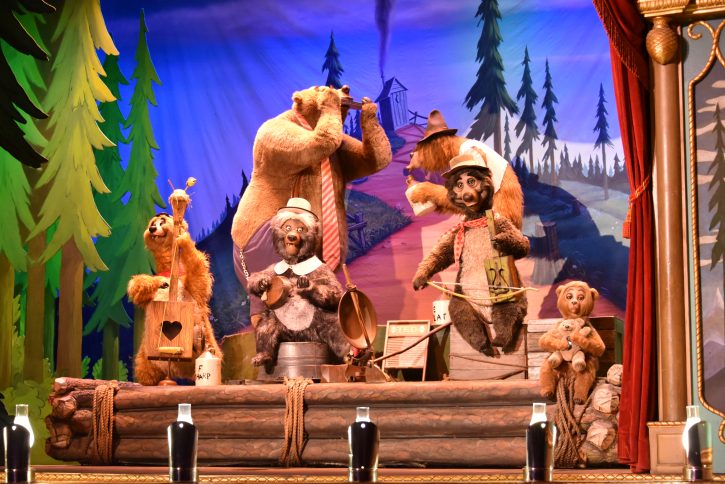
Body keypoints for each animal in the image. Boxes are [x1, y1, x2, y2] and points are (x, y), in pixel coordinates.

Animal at [230, 85, 390, 324]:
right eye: (317, 87)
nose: (345, 89)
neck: (308, 120)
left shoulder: (342, 151)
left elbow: (371, 159)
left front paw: (368, 106)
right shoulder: (278, 137)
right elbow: (316, 141)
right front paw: (329, 98)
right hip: (260, 246)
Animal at [246, 199, 350, 372]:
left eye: (300, 229)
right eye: (288, 227)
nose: (292, 237)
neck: (294, 263)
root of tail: (297, 337)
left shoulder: (323, 270)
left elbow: (333, 291)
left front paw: (307, 286)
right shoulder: (273, 268)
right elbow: (256, 278)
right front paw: (262, 283)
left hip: (321, 324)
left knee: (336, 328)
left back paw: (353, 354)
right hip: (276, 325)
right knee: (265, 328)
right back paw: (263, 355)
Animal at [410, 154, 528, 352]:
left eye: (471, 181)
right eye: (459, 185)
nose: (466, 195)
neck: (477, 217)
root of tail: (486, 316)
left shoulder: (501, 221)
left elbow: (523, 245)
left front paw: (502, 240)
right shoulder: (457, 232)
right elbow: (440, 253)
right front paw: (420, 277)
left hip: (507, 298)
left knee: (507, 313)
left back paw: (500, 339)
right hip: (463, 299)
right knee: (463, 316)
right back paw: (483, 345)